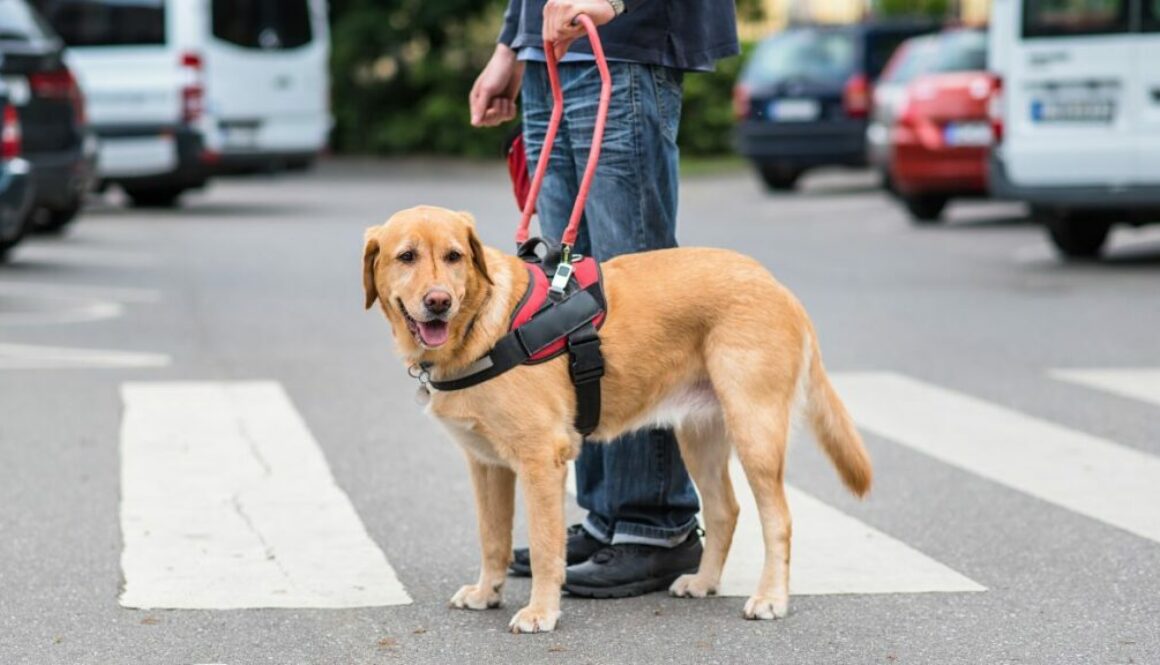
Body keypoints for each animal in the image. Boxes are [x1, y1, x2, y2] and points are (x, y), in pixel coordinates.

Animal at [361, 203, 872, 631]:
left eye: (453, 256)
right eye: (406, 256)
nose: (439, 301)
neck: (481, 327)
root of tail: (775, 284)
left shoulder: (540, 460)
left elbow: (545, 549)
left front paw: (542, 611)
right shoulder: (487, 466)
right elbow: (493, 538)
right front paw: (488, 592)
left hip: (755, 432)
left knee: (778, 520)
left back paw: (771, 598)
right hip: (699, 436)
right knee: (725, 510)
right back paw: (703, 582)